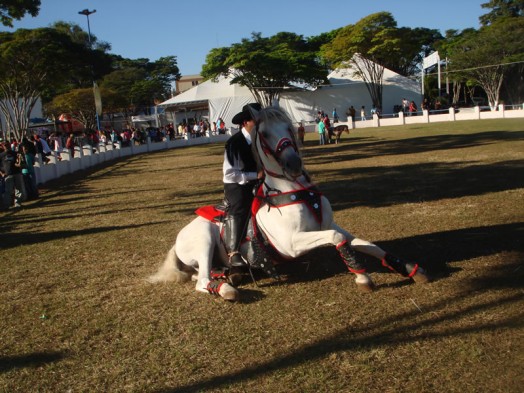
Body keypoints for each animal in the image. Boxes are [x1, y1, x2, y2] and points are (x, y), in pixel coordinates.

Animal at [148, 105, 430, 300]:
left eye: (288, 128)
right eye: (263, 133)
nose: (293, 164)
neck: (293, 190)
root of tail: (178, 237)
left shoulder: (330, 226)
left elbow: (364, 243)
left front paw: (406, 267)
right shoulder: (292, 244)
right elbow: (338, 240)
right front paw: (362, 277)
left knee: (200, 273)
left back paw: (229, 275)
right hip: (204, 241)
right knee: (201, 279)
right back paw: (226, 287)